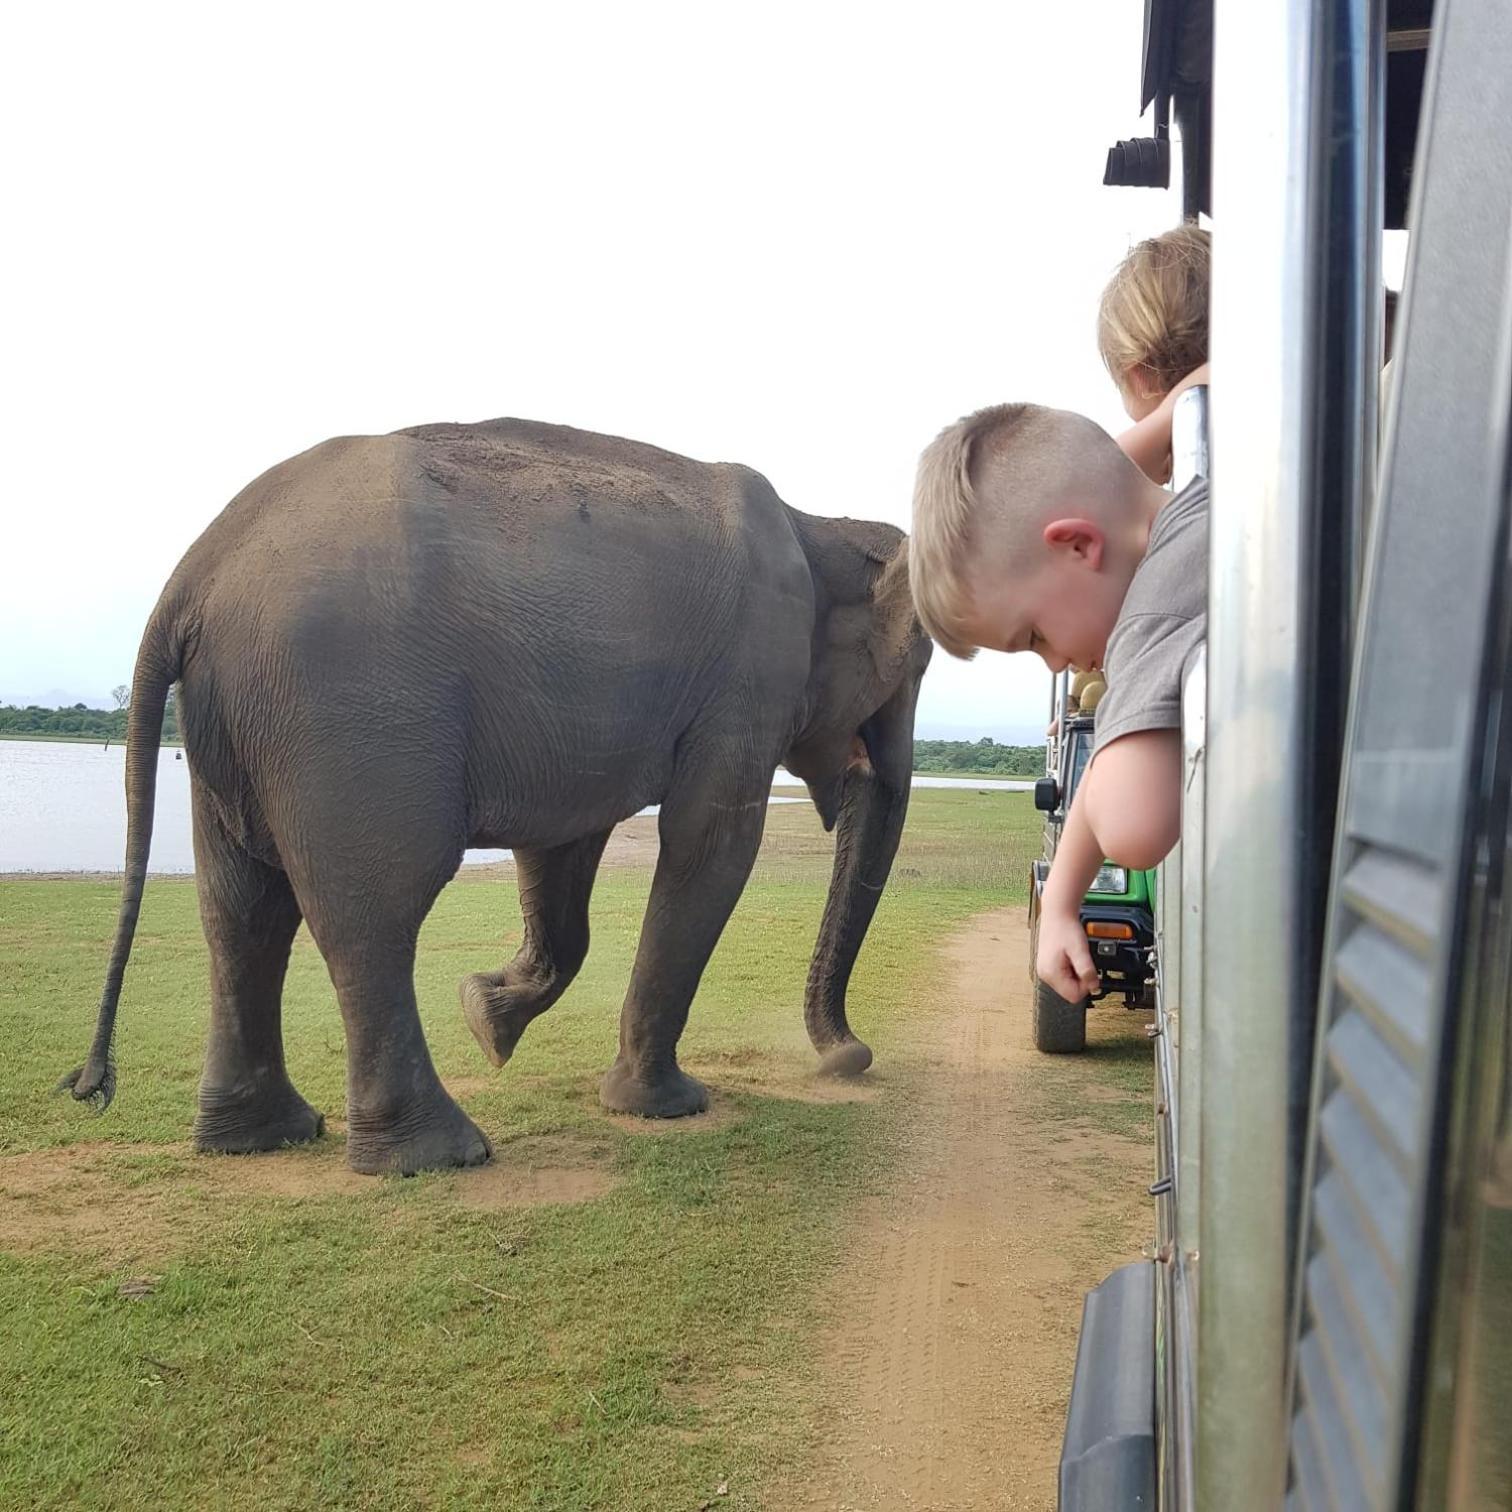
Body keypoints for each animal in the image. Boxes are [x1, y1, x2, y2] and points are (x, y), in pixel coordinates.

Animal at [68, 420, 931, 1173]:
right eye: (914, 668)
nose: (849, 1058)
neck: (819, 523)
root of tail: (192, 575)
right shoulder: (750, 677)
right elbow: (709, 847)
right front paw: (668, 1105)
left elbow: (566, 848)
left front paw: (487, 1017)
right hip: (347, 715)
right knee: (374, 909)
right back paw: (438, 1156)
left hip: (239, 720)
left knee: (243, 910)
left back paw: (264, 1138)